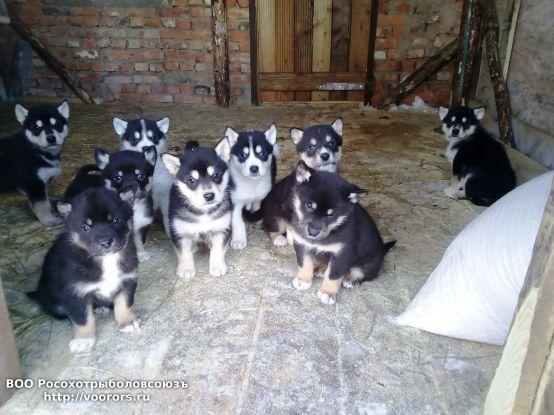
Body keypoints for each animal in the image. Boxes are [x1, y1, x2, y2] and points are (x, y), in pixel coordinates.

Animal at [28, 188, 139, 353]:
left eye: (116, 220)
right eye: (86, 227)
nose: (105, 243)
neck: (106, 261)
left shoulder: (127, 280)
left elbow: (124, 303)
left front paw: (127, 321)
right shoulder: (75, 293)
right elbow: (82, 318)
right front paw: (83, 339)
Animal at [162, 139, 233, 278]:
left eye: (215, 175)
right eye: (191, 180)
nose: (209, 196)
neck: (203, 211)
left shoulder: (222, 229)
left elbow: (218, 250)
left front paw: (217, 266)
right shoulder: (179, 232)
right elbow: (183, 253)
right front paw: (186, 269)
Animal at [289, 161, 395, 305]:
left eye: (331, 214)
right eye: (309, 205)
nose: (312, 233)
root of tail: (383, 250)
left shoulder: (343, 254)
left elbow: (333, 275)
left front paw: (328, 293)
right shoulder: (302, 244)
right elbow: (304, 263)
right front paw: (303, 280)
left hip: (368, 264)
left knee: (363, 273)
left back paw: (351, 280)